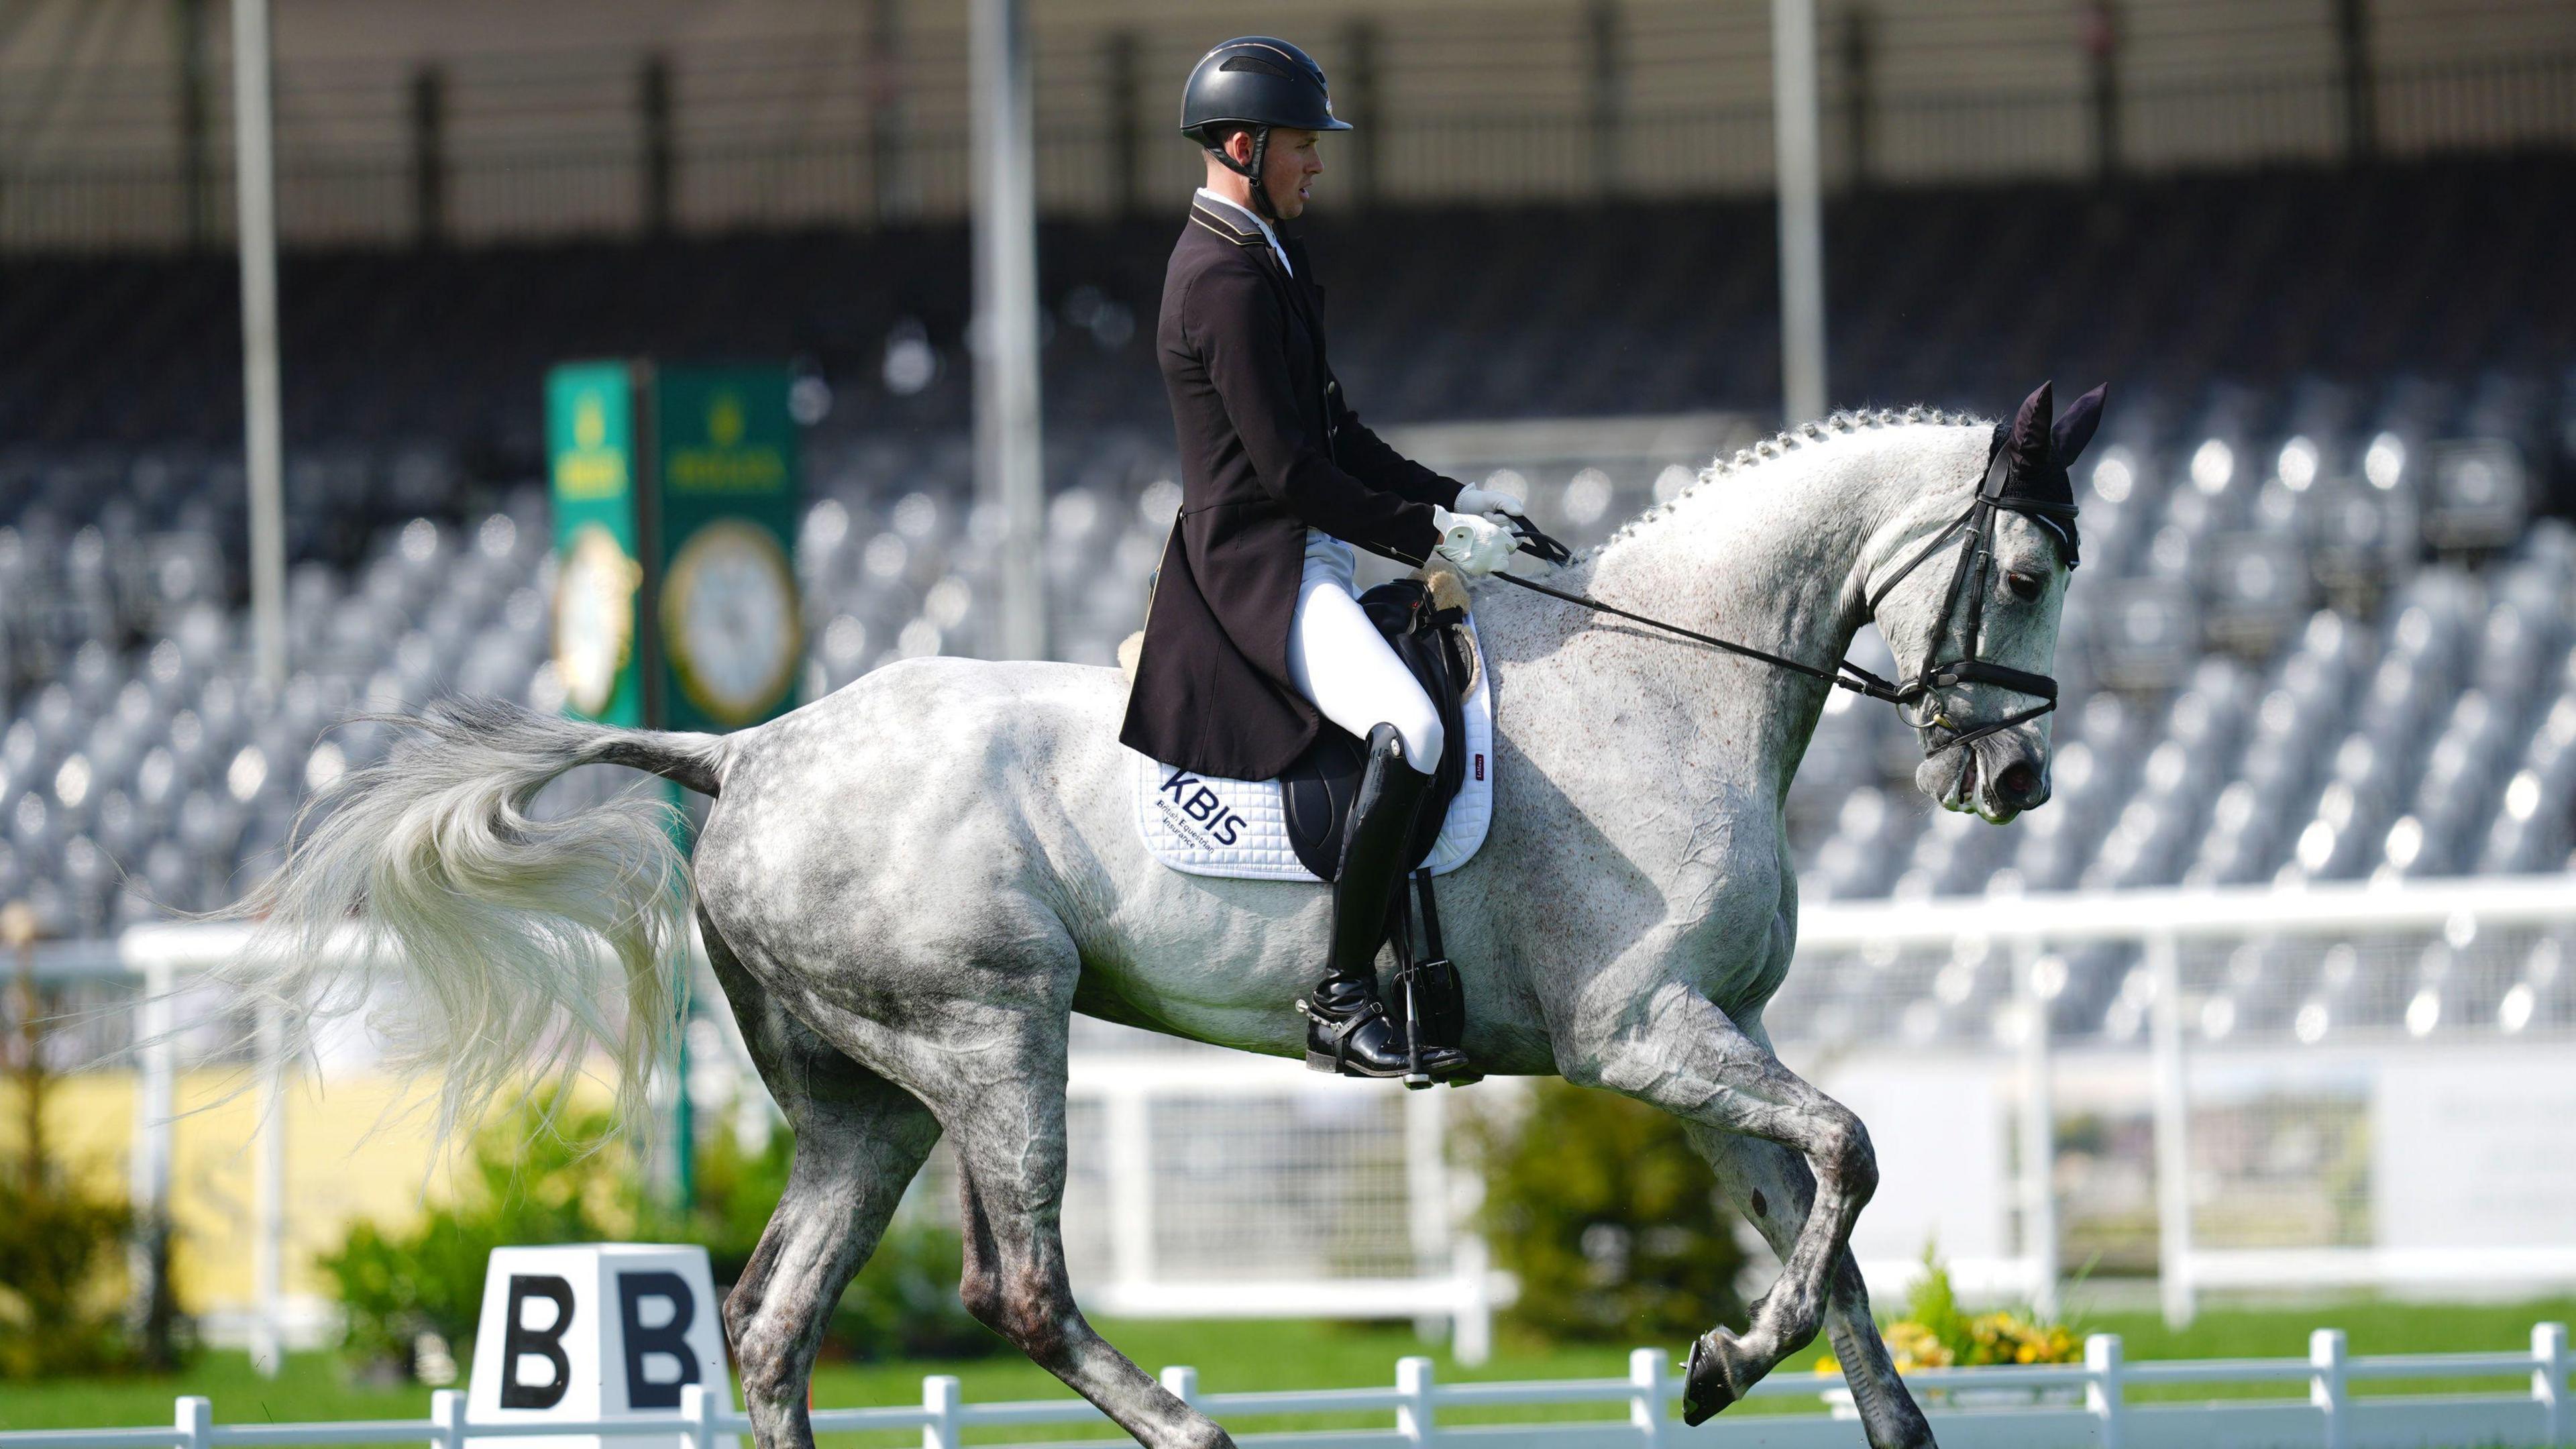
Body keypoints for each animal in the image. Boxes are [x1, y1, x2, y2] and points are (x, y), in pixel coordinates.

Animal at [231, 384, 2102, 1444]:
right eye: (2021, 573)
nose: (2014, 784)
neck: (1671, 681)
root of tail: (745, 743)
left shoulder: (1710, 1047)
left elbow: (1833, 1236)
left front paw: (1786, 1374)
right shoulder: (1641, 1038)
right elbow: (1853, 1158)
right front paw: (1718, 1362)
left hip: (865, 1102)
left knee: (773, 1322)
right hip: (995, 1036)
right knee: (1016, 1292)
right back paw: (1193, 1434)